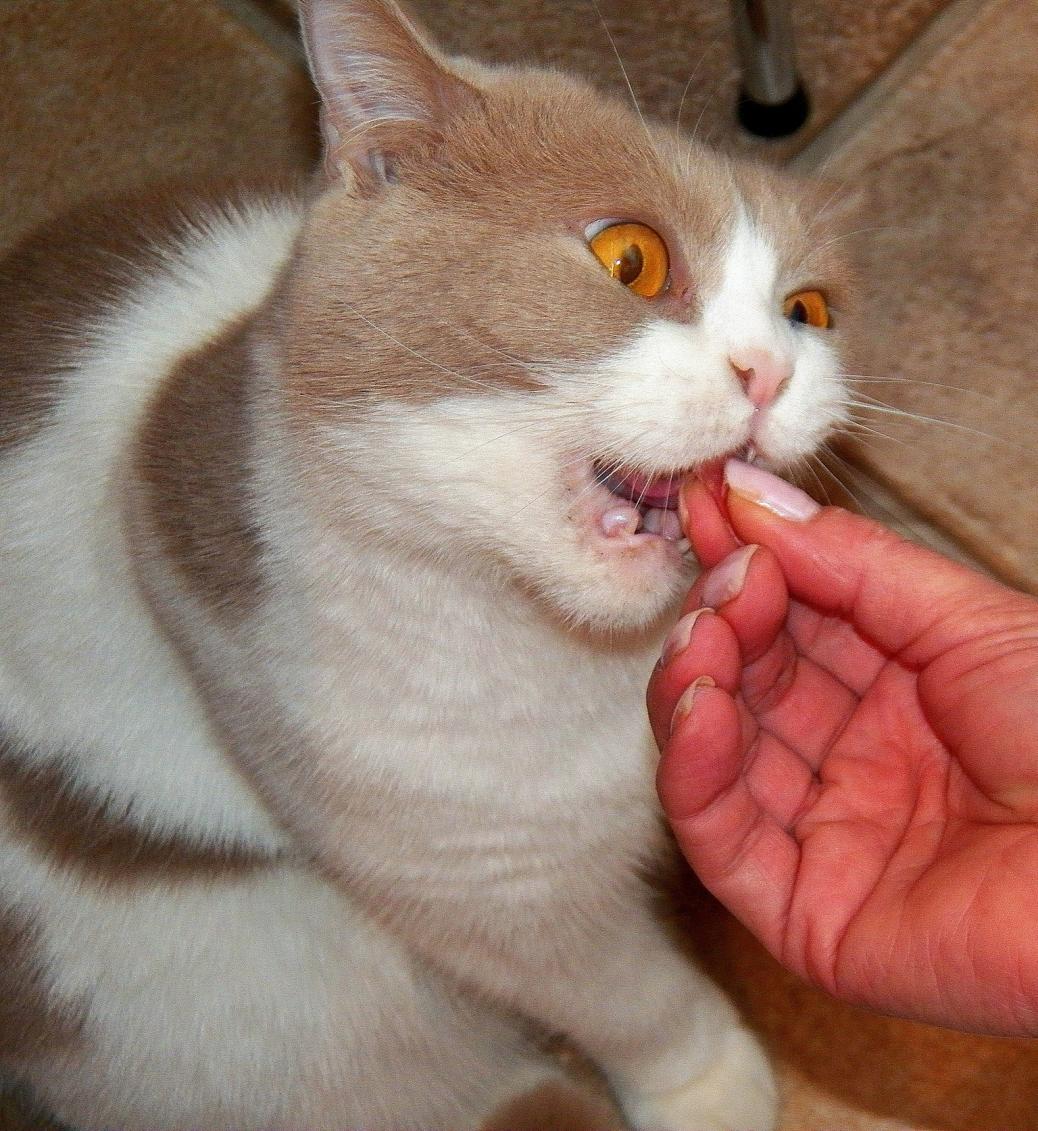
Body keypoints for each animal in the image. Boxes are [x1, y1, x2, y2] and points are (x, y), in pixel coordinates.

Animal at [0, 0, 851, 1127]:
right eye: (631, 258)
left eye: (810, 312)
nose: (770, 372)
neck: (579, 663)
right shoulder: (482, 883)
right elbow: (625, 991)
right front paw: (706, 1083)